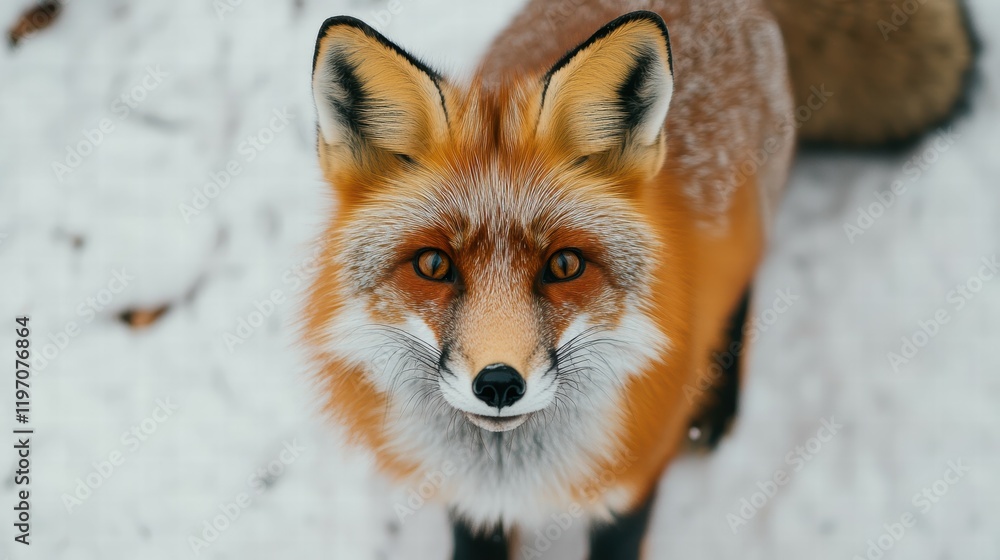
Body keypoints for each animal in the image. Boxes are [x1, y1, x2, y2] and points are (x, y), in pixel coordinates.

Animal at [302, 0, 974, 558]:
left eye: (565, 265)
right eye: (433, 265)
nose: (498, 384)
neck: (517, 473)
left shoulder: (631, 487)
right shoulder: (472, 500)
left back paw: (717, 403)